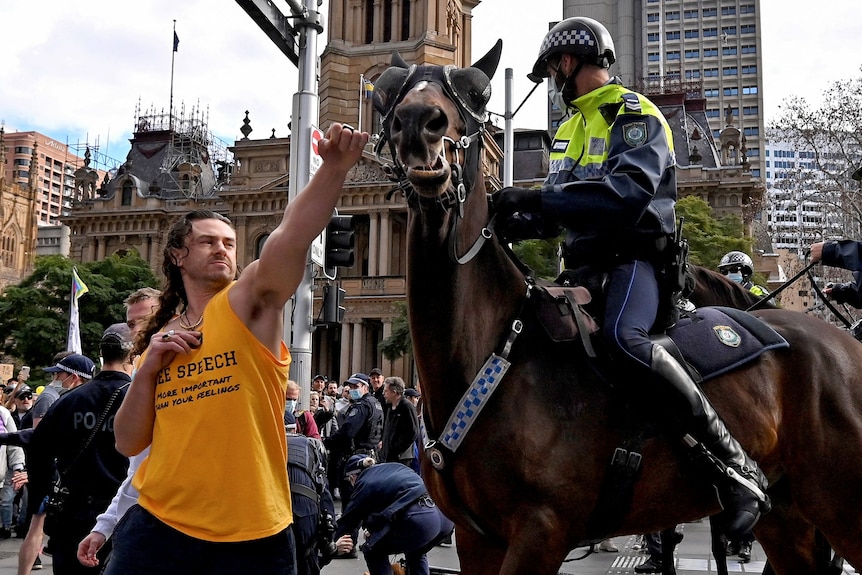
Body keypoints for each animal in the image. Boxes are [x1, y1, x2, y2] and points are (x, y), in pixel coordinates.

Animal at [374, 41, 862, 575]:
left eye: (477, 94)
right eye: (385, 94)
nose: (419, 124)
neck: (495, 347)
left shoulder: (541, 532)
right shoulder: (474, 538)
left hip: (840, 499)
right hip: (790, 518)